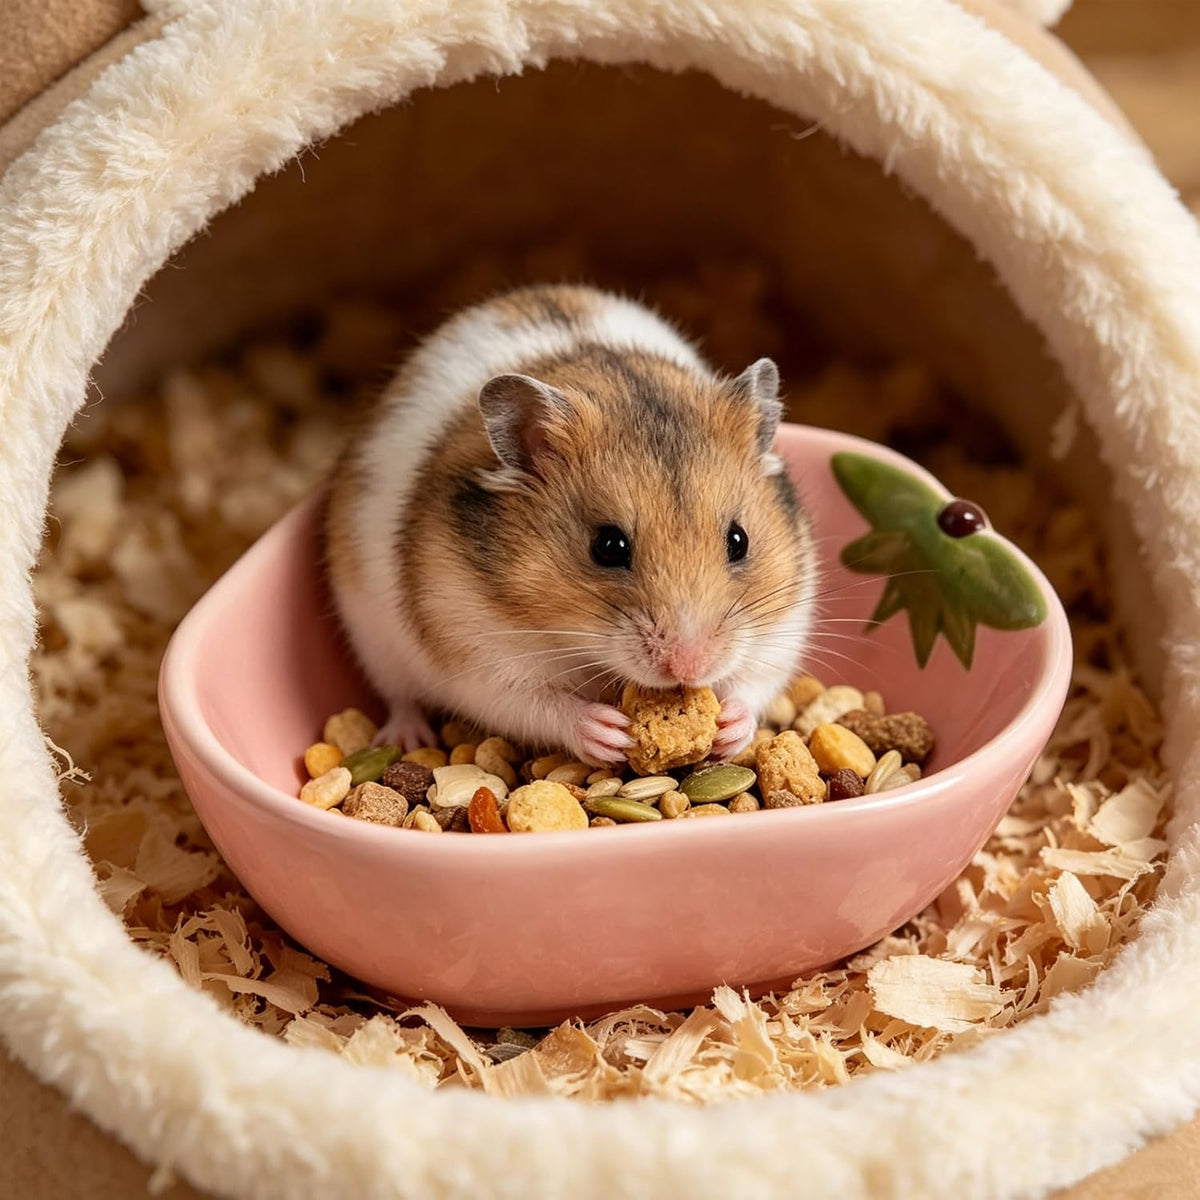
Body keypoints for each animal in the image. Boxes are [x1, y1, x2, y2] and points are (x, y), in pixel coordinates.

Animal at [325, 284, 817, 766]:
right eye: (608, 547)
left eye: (739, 540)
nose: (689, 668)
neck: (580, 643)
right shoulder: (477, 653)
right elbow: (535, 703)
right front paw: (609, 732)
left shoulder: (783, 624)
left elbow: (754, 681)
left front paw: (728, 725)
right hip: (374, 639)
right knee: (400, 698)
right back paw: (406, 738)